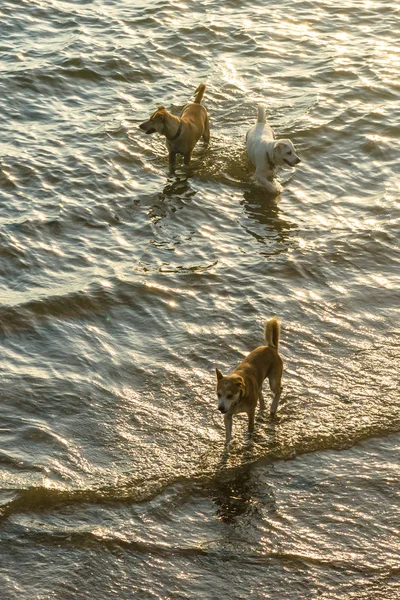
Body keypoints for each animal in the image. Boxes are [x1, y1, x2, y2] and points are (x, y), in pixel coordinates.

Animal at [216, 318, 284, 446]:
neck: (238, 401)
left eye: (230, 395)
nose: (220, 408)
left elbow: (250, 427)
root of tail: (271, 348)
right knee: (260, 391)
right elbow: (228, 435)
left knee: (278, 390)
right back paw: (263, 407)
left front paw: (249, 439)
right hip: (259, 383)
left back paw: (273, 407)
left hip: (274, 379)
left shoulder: (250, 411)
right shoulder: (228, 415)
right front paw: (227, 446)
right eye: (218, 394)